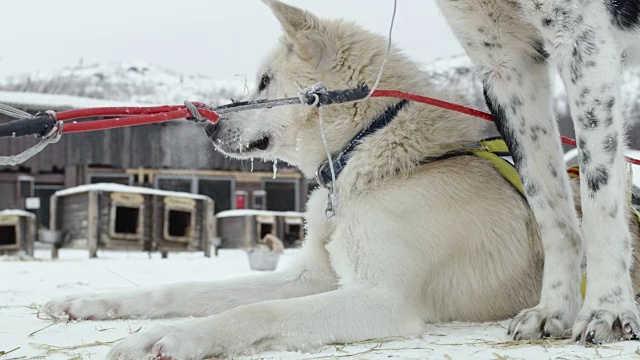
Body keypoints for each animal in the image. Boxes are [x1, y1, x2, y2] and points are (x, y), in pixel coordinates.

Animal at [438, 0, 640, 344]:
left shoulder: (583, 45)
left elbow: (599, 205)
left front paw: (607, 307)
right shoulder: (505, 64)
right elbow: (551, 214)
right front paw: (555, 308)